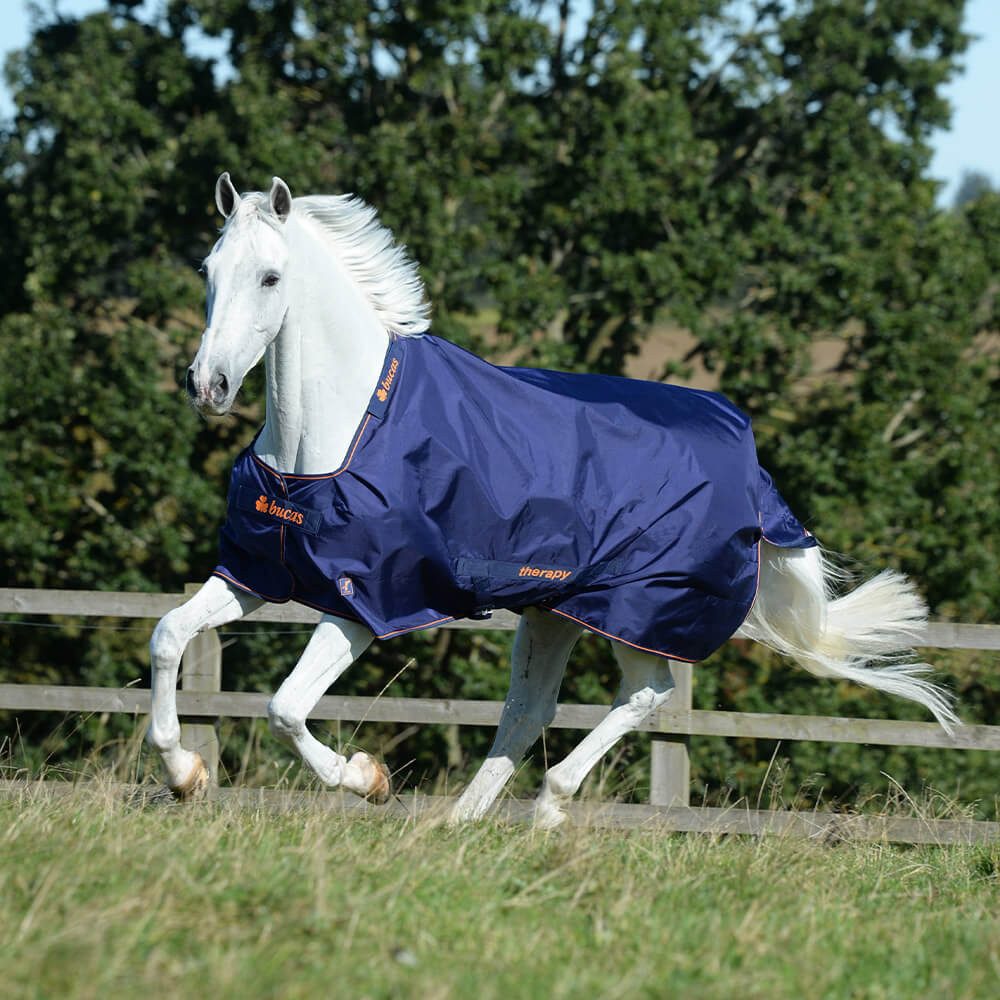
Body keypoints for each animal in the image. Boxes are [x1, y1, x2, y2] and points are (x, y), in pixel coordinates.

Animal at [148, 173, 958, 827]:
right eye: (208, 269)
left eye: (271, 277)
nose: (207, 386)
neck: (341, 432)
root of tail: (749, 457)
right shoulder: (257, 575)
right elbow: (168, 636)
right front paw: (186, 774)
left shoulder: (363, 602)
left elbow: (285, 707)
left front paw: (368, 778)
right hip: (553, 610)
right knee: (530, 709)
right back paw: (459, 824)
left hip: (635, 612)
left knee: (647, 695)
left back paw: (548, 805)